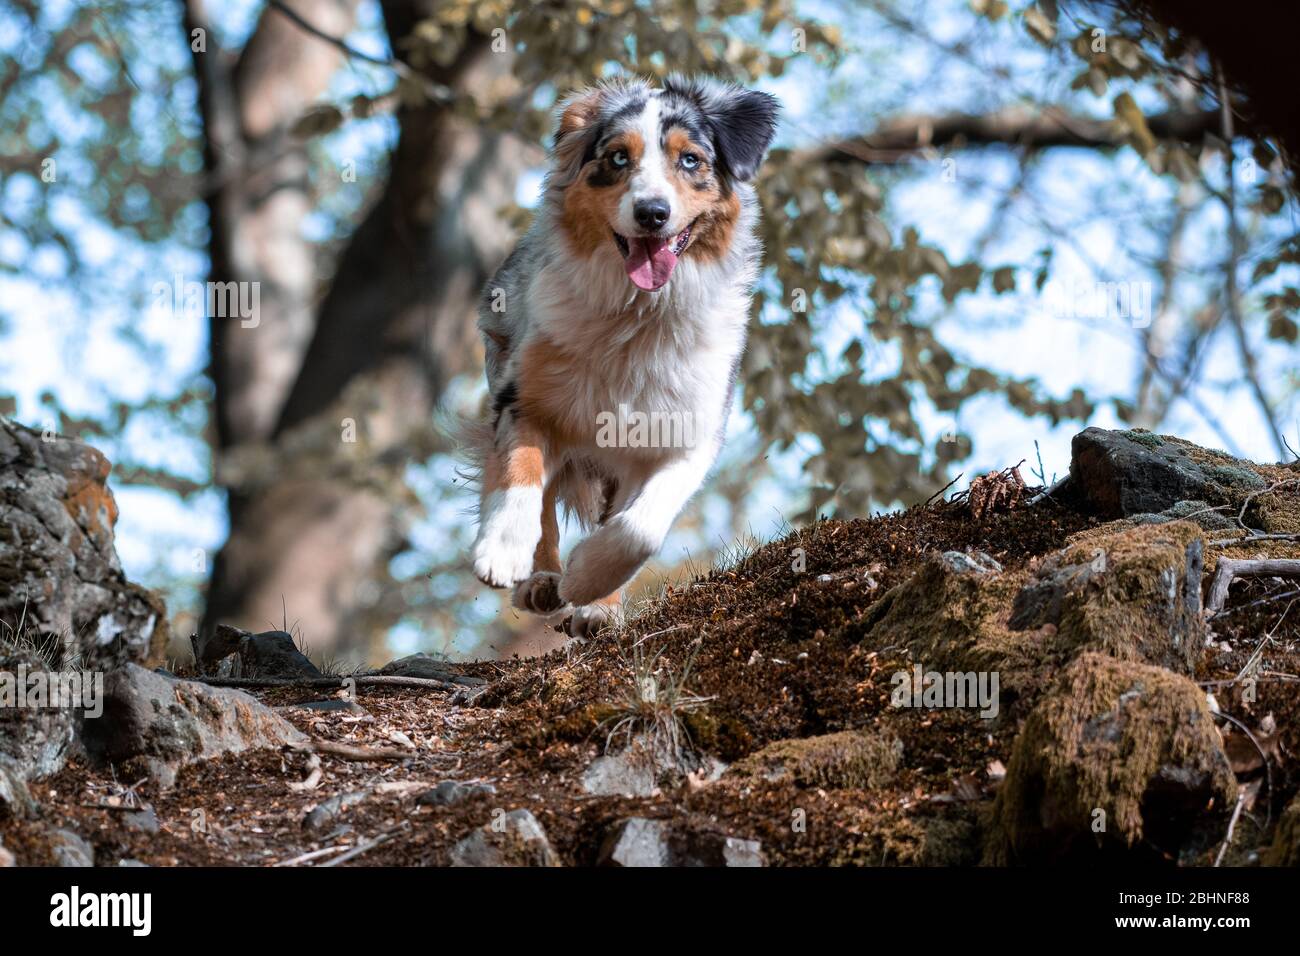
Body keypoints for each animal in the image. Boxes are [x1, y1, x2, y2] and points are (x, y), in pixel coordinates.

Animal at [467, 74, 774, 639]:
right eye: (616, 158)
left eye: (691, 159)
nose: (652, 212)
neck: (636, 318)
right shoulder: (524, 396)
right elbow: (523, 477)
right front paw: (502, 551)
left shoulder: (689, 433)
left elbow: (639, 529)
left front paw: (589, 581)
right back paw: (541, 580)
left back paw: (594, 606)